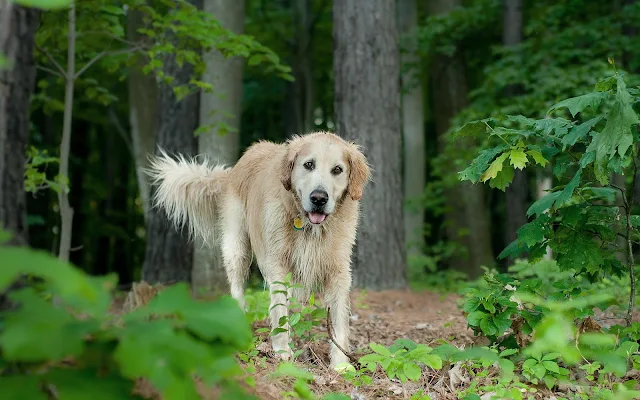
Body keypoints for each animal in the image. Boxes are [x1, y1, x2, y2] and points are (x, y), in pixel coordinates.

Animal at [145, 130, 370, 366]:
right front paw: (282, 351)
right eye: (309, 164)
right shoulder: (277, 264)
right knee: (237, 290)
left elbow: (339, 317)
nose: (319, 198)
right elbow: (279, 309)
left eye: (337, 170)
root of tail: (235, 167)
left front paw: (341, 364)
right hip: (237, 249)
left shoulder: (339, 270)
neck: (309, 227)